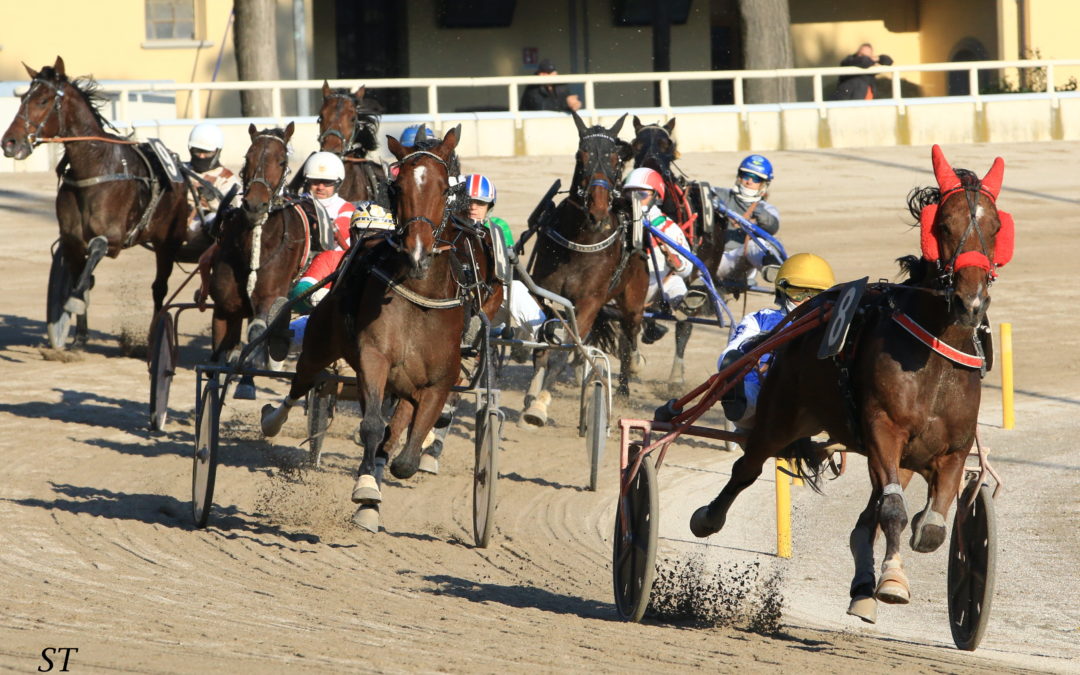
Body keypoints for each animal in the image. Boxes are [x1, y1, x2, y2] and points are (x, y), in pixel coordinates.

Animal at [1, 56, 190, 347]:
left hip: (167, 242)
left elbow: (93, 259)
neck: (95, 166)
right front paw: (79, 336)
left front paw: (73, 304)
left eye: (43, 101)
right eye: (23, 98)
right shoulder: (72, 240)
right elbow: (81, 278)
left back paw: (153, 334)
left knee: (159, 288)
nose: (9, 142)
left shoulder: (112, 239)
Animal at [208, 122, 306, 388]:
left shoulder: (269, 296)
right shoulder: (224, 307)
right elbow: (219, 355)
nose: (254, 204)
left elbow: (258, 330)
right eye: (247, 157)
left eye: (281, 161)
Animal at [261, 123, 501, 529]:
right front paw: (366, 489)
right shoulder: (374, 358)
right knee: (301, 382)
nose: (418, 252)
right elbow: (373, 426)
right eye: (398, 186)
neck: (419, 293)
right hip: (321, 341)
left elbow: (405, 454)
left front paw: (384, 477)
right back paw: (273, 421)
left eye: (444, 188)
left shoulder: (439, 380)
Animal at [524, 111, 648, 423]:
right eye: (582, 155)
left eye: (615, 159)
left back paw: (627, 381)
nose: (598, 211)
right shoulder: (544, 295)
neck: (580, 241)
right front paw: (531, 396)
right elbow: (544, 348)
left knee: (629, 338)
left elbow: (565, 351)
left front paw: (539, 406)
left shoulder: (589, 302)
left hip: (634, 298)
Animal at [686, 144, 1006, 622]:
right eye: (943, 225)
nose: (972, 302)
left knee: (865, 519)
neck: (934, 354)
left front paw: (894, 568)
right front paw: (892, 582)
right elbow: (893, 510)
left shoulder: (951, 448)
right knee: (748, 466)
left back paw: (863, 586)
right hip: (782, 415)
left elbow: (930, 527)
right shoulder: (882, 430)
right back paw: (708, 517)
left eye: (996, 226)